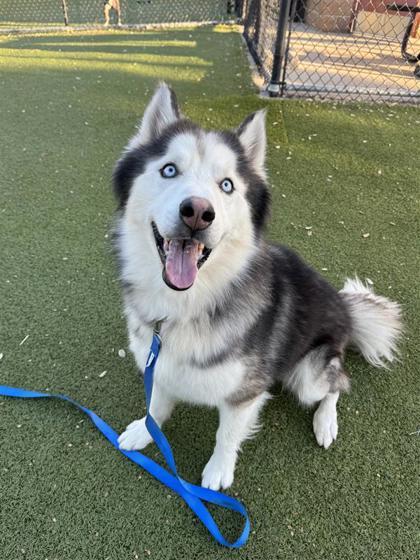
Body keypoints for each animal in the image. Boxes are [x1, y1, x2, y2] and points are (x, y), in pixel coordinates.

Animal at [113, 83, 402, 490]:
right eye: (169, 170)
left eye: (227, 185)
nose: (198, 212)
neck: (185, 305)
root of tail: (346, 310)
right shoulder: (160, 364)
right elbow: (155, 404)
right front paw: (144, 431)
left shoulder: (245, 393)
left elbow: (227, 434)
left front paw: (218, 471)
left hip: (310, 374)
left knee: (337, 385)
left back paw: (325, 422)